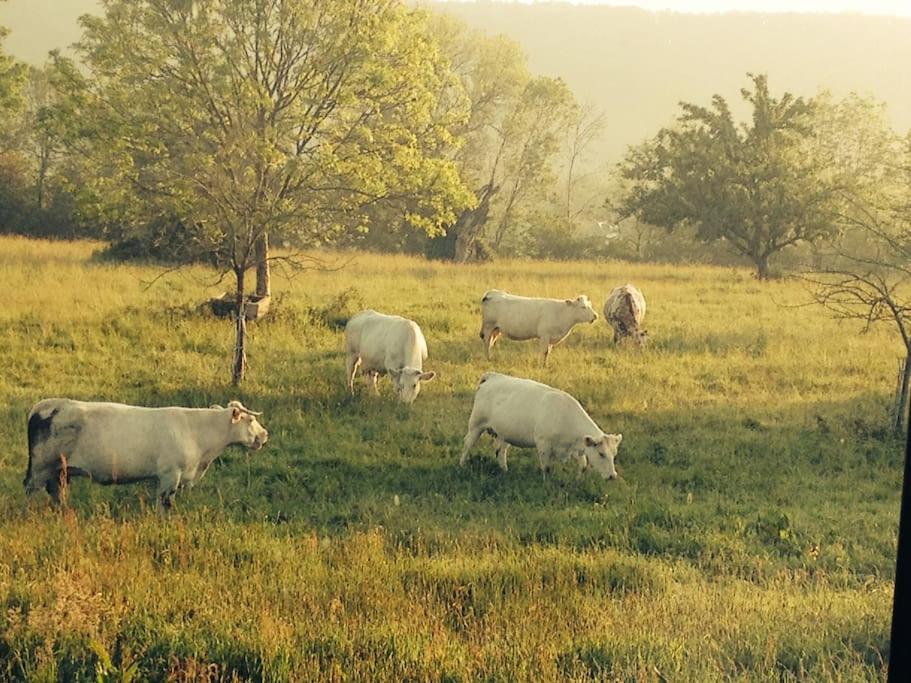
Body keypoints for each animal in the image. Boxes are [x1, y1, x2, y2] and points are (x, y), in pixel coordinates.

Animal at [24, 399, 268, 509]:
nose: (265, 435)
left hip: (59, 470)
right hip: (40, 468)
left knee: (56, 492)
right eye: (250, 420)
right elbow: (165, 503)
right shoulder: (171, 474)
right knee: (30, 489)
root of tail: (41, 406)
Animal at [458, 372, 622, 480]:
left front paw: (578, 481)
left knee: (501, 450)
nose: (612, 476)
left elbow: (582, 466)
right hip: (476, 425)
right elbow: (547, 468)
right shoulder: (544, 444)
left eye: (614, 454)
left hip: (505, 433)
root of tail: (492, 376)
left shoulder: (577, 448)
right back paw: (462, 465)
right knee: (467, 444)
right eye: (601, 454)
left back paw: (504, 470)